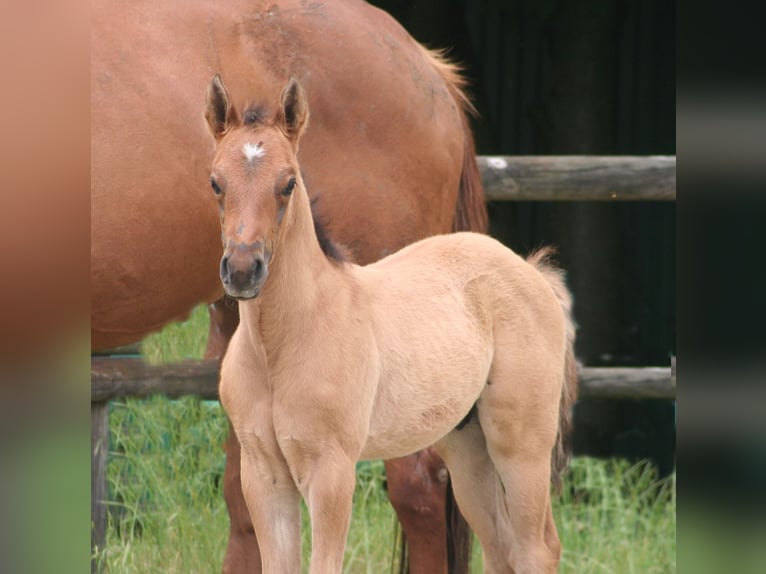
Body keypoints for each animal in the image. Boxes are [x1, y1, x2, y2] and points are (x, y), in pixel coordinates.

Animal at [207, 77, 580, 574]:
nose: (243, 270)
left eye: (288, 183)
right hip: (467, 446)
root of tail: (531, 271)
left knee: (536, 548)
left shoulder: (331, 470)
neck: (282, 344)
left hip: (521, 447)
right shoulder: (264, 475)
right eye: (216, 182)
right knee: (500, 546)